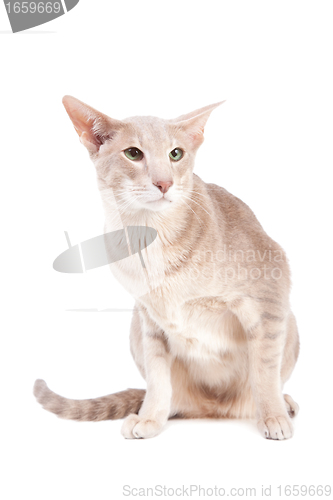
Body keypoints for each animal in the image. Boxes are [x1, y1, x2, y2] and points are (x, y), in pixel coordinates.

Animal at [33, 95, 298, 440]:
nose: (164, 183)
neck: (151, 235)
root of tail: (214, 411)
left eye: (176, 154)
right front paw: (151, 417)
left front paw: (273, 416)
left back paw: (282, 404)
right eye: (133, 153)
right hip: (135, 328)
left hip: (290, 323)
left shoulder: (269, 297)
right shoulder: (150, 320)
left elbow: (264, 370)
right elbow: (158, 378)